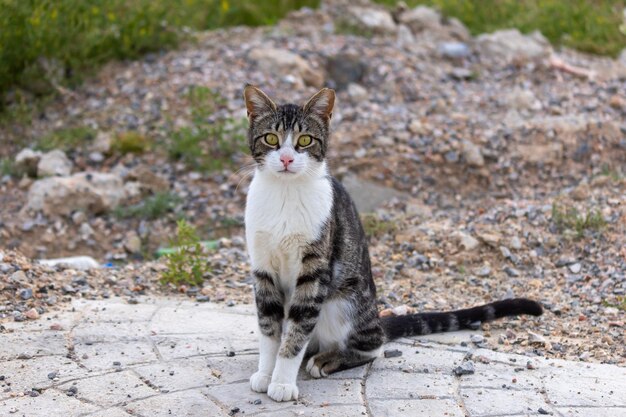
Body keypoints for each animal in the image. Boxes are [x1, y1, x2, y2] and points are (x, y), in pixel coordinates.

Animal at [241, 84, 540, 400]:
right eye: (271, 138)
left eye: (305, 140)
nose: (286, 159)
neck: (284, 195)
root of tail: (375, 317)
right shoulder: (262, 267)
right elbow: (269, 327)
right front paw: (266, 373)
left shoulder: (314, 270)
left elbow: (298, 329)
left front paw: (282, 382)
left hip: (344, 303)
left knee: (374, 346)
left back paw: (328, 359)